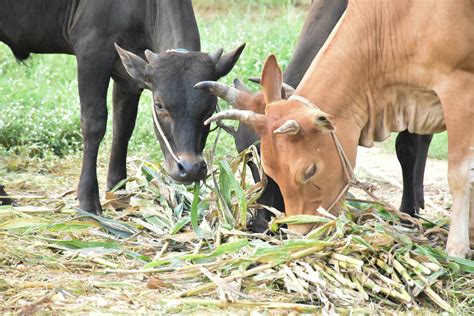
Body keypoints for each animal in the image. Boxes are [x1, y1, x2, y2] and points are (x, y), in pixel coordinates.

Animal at [0, 0, 244, 215]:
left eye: (210, 108)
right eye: (159, 105)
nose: (190, 168)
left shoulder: (129, 78)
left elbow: (123, 127)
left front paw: (118, 192)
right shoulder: (91, 52)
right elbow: (94, 124)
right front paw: (87, 200)